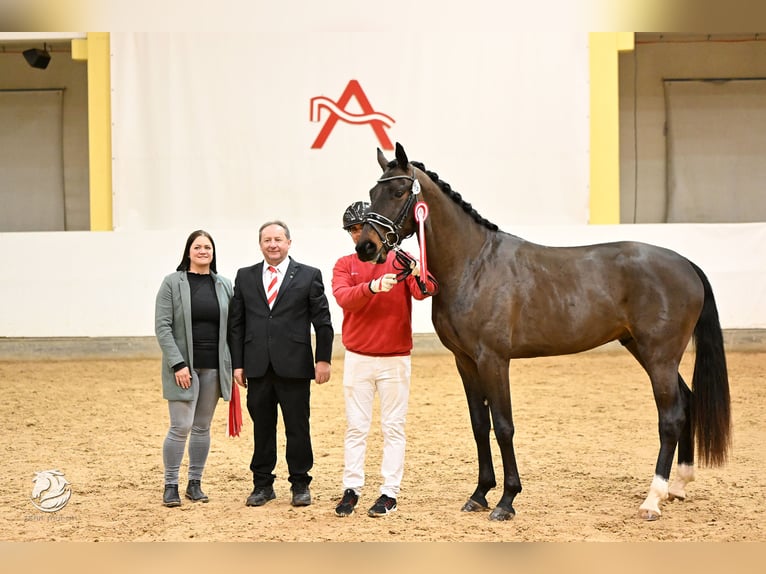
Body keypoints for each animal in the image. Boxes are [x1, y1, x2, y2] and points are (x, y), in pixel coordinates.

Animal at [356, 143, 736, 520]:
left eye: (398, 191)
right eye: (372, 193)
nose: (366, 247)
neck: (473, 264)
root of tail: (685, 264)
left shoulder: (494, 360)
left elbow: (503, 426)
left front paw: (506, 501)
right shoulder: (465, 361)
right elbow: (480, 426)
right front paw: (479, 494)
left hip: (659, 356)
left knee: (671, 417)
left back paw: (653, 499)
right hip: (645, 350)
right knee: (686, 401)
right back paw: (678, 486)